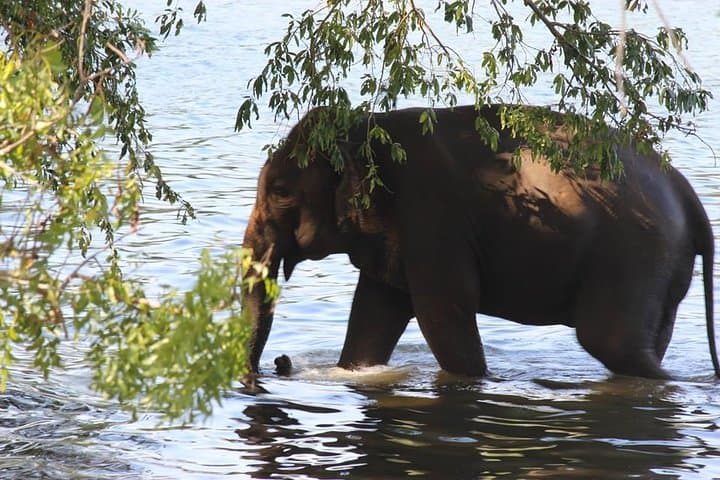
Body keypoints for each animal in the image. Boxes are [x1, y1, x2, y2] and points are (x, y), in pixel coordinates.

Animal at [241, 104, 720, 380]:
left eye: (280, 191)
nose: (279, 363)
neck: (366, 129)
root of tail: (689, 197)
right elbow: (375, 315)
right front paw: (353, 371)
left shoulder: (431, 217)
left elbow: (442, 312)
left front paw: (476, 380)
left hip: (635, 255)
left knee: (609, 342)